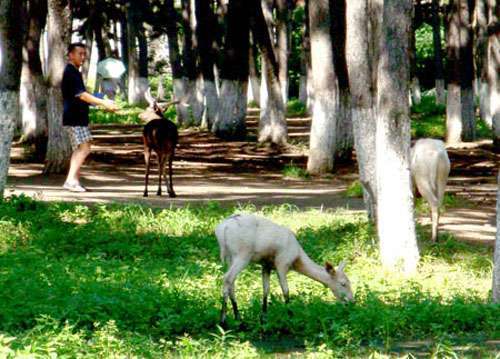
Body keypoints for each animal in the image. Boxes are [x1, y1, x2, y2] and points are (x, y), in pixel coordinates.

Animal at [214, 214, 352, 326]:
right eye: (343, 284)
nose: (352, 301)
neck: (296, 258)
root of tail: (222, 229)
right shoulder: (282, 263)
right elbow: (285, 290)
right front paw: (291, 316)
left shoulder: (266, 265)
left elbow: (266, 289)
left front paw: (263, 318)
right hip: (242, 254)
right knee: (227, 278)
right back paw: (223, 321)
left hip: (230, 257)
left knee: (231, 282)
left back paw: (238, 317)